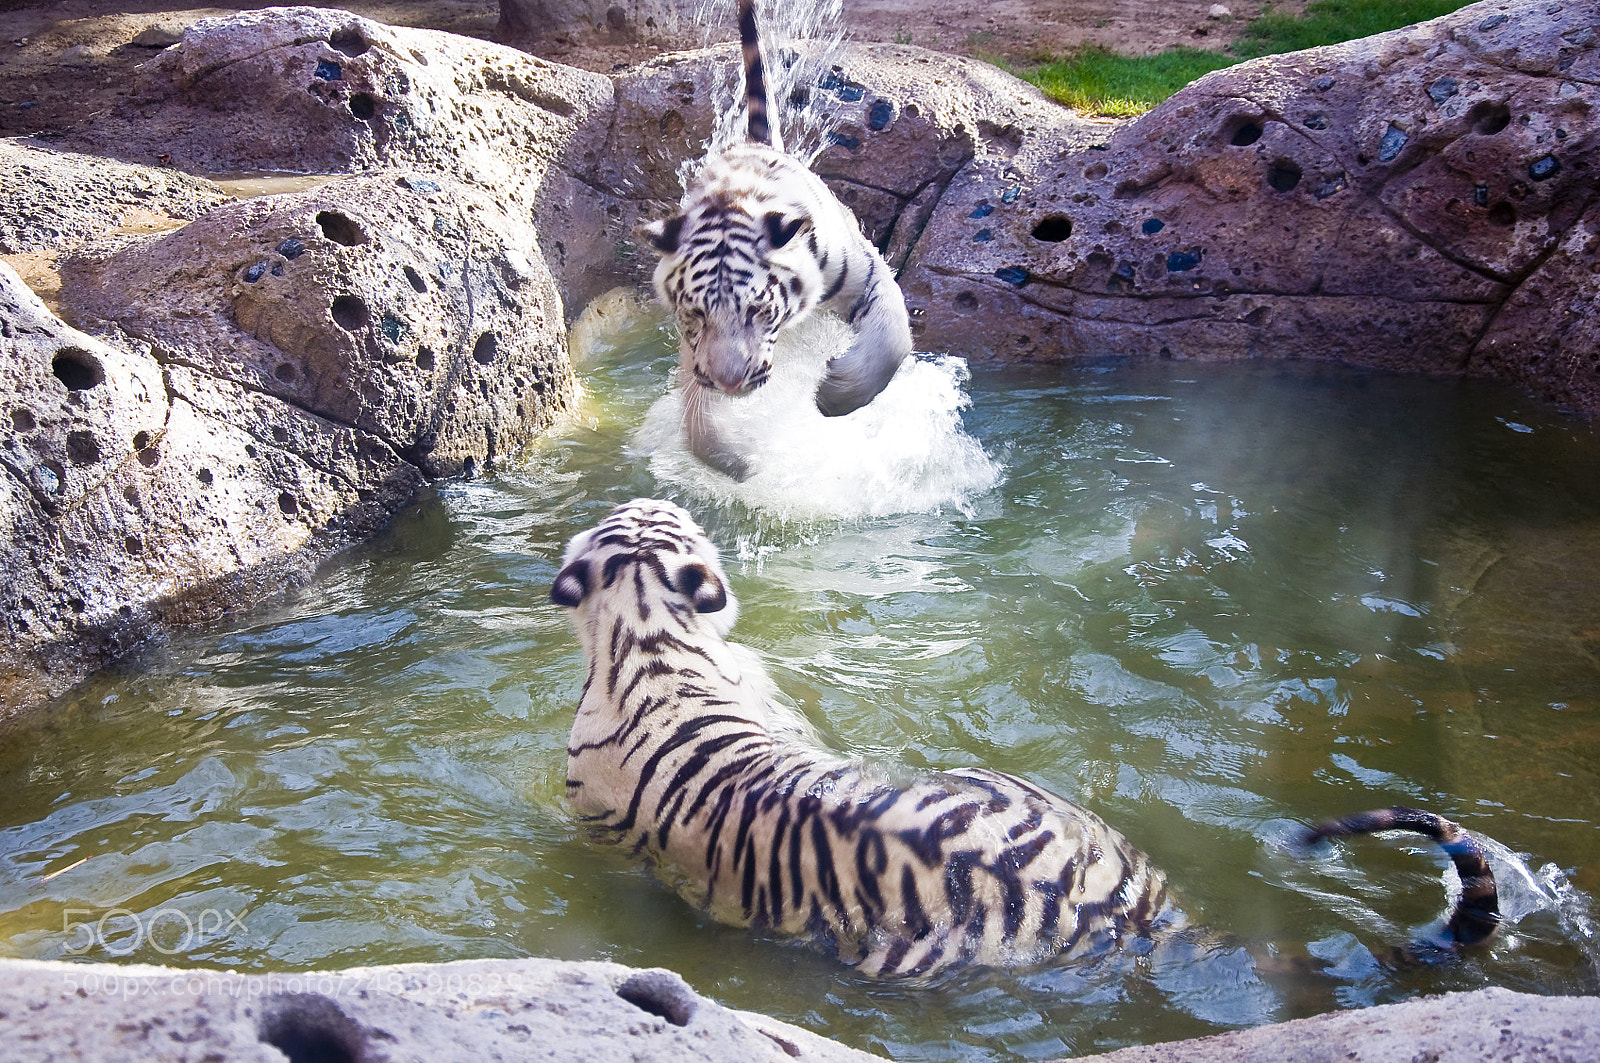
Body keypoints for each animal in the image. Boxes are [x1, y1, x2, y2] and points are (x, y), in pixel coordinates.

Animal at [638, 0, 914, 482]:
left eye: (757, 310)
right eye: (697, 314)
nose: (730, 382)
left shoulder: (869, 274)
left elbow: (891, 341)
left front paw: (835, 395)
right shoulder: (694, 350)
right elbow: (696, 411)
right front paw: (735, 462)